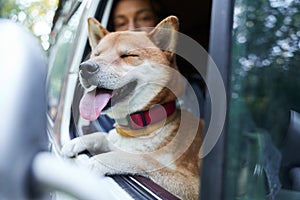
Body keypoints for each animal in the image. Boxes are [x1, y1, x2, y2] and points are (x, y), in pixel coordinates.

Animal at [62, 16, 205, 200]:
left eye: (128, 55)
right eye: (97, 54)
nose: (86, 67)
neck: (139, 128)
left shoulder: (191, 184)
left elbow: (143, 158)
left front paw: (101, 160)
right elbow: (103, 136)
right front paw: (78, 141)